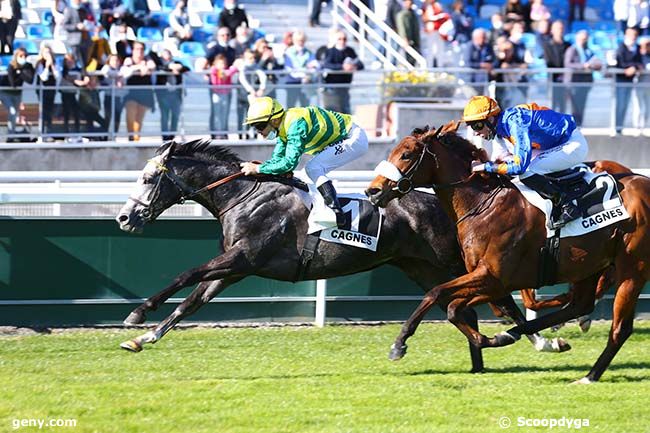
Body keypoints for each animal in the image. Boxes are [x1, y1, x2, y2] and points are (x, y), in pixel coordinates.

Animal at [364, 123, 648, 384]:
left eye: (407, 154)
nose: (372, 191)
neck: (483, 204)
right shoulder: (490, 280)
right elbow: (454, 305)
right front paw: (498, 338)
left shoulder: (493, 277)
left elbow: (437, 294)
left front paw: (399, 344)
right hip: (588, 265)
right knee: (580, 304)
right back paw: (532, 335)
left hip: (632, 269)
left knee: (620, 328)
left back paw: (589, 375)